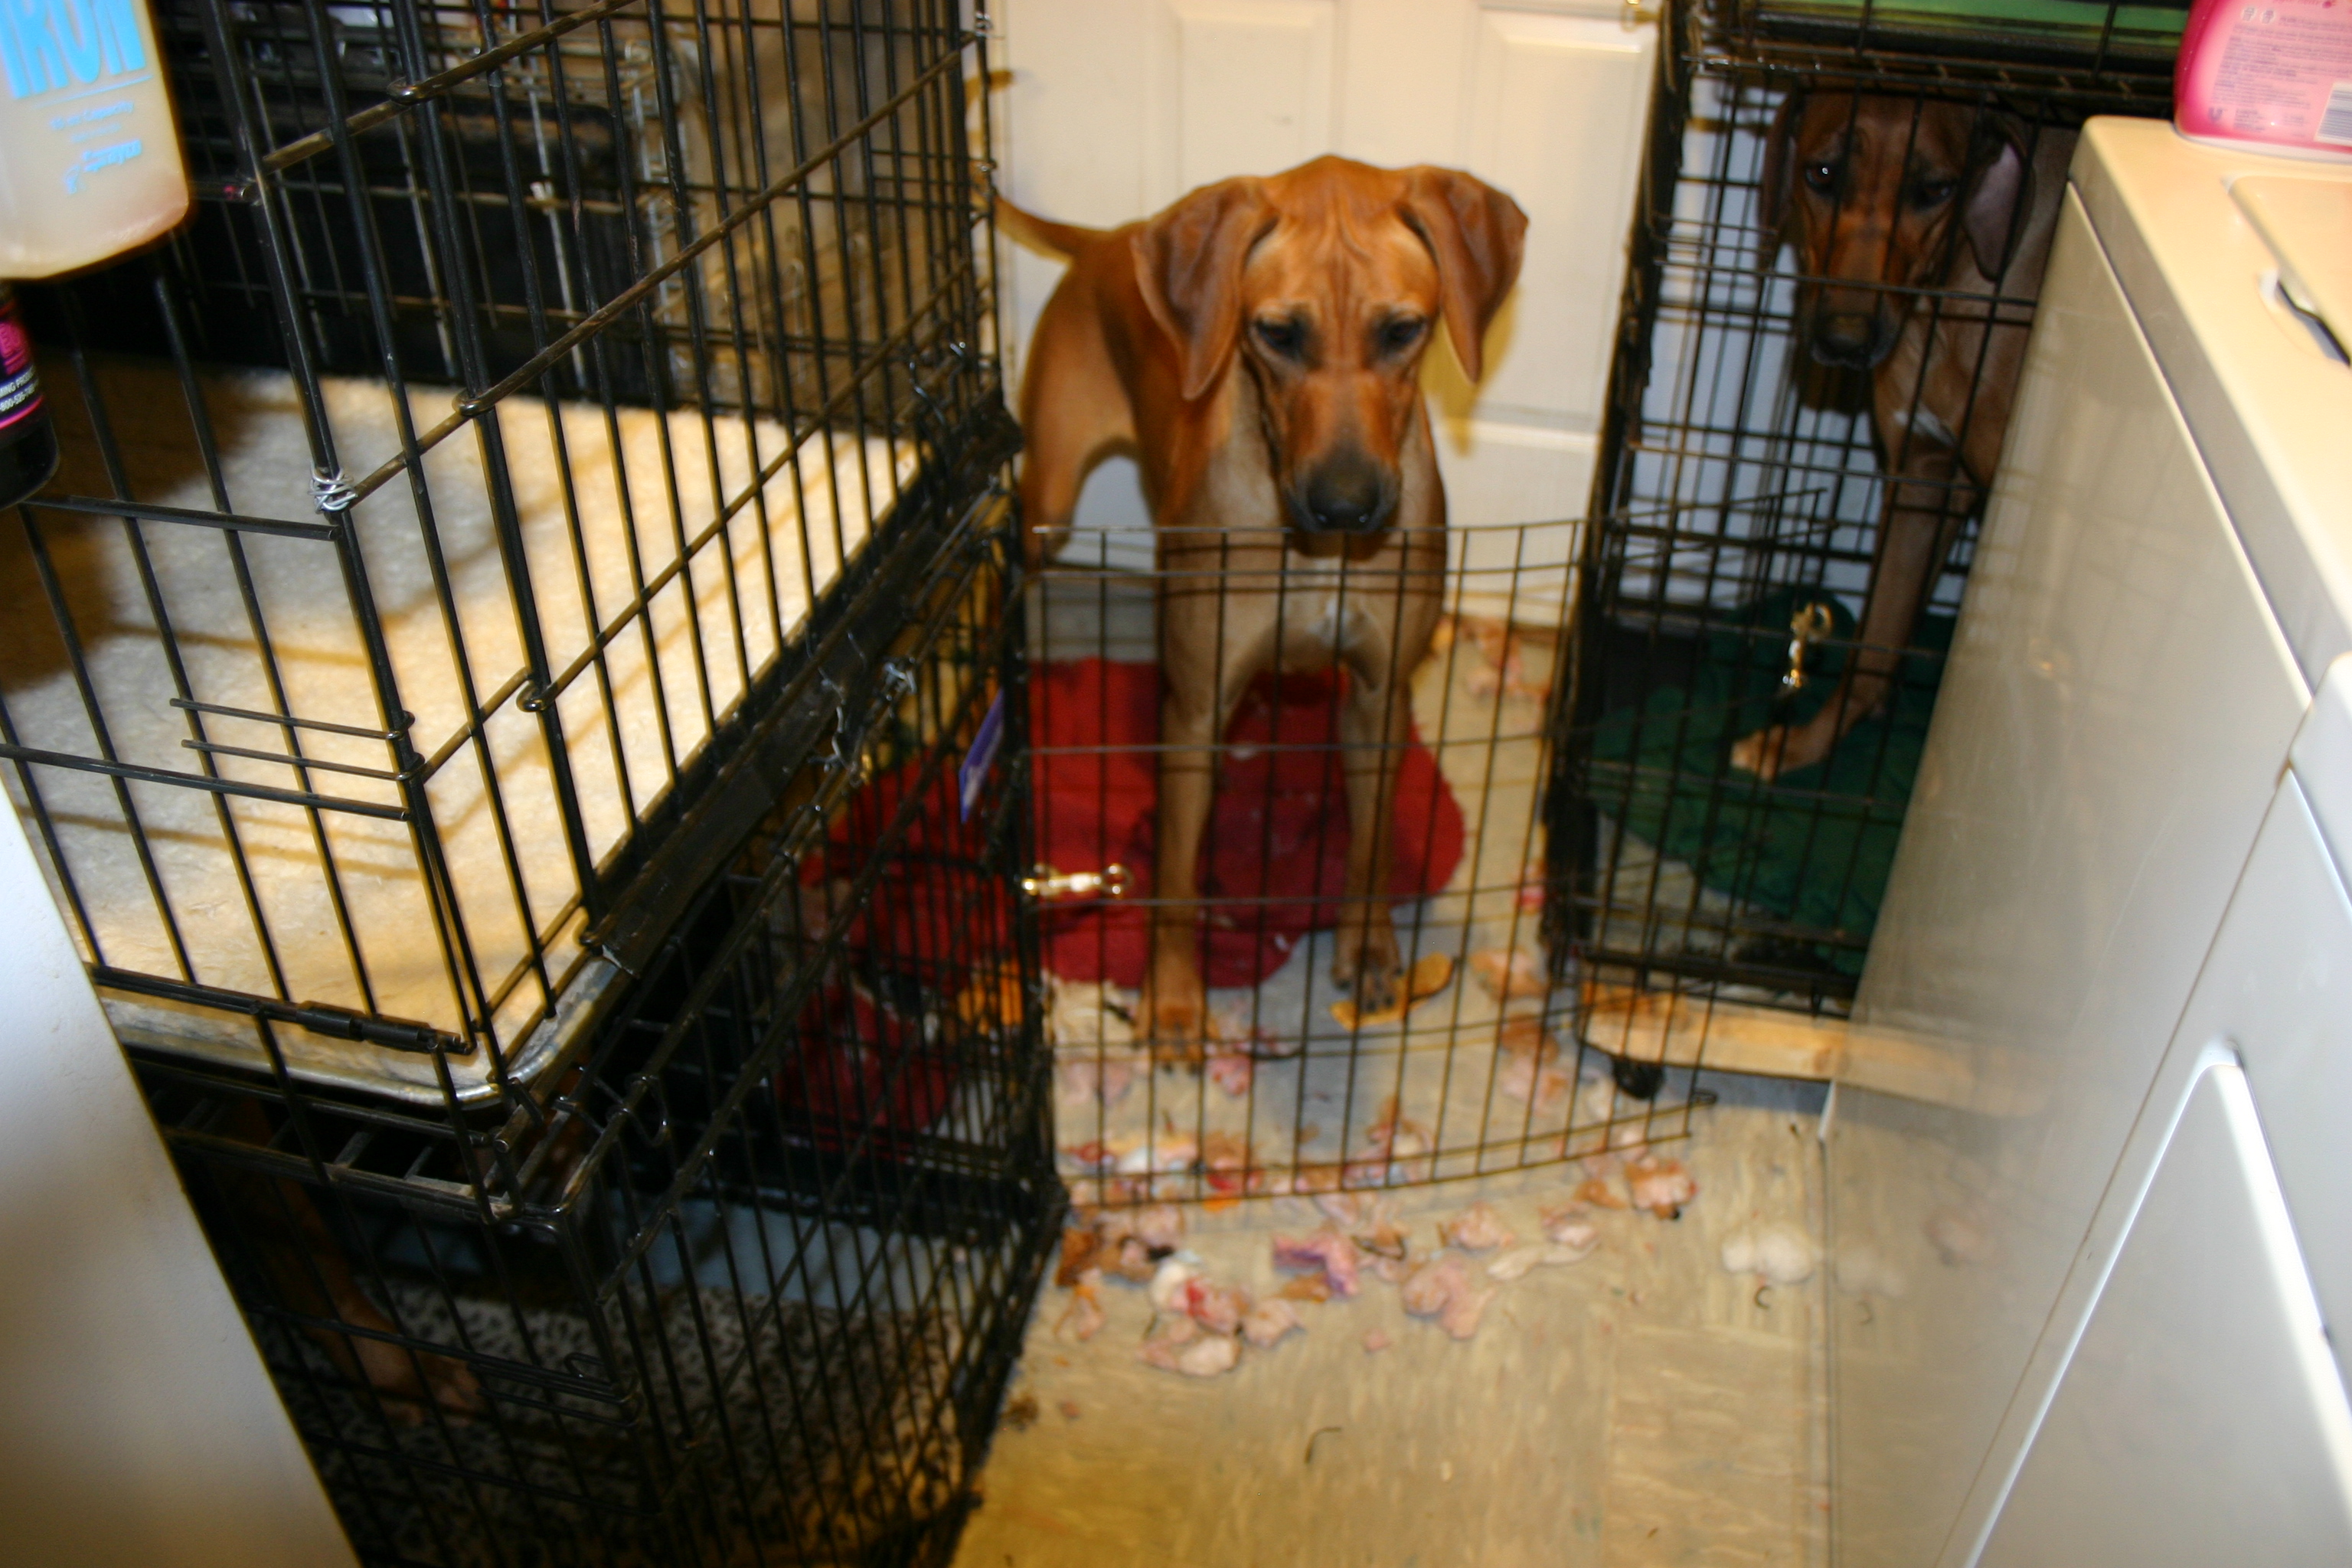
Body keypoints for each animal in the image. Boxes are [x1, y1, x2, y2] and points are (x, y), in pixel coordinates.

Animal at [1001, 157, 1526, 1055]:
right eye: (1277, 334)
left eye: (1404, 330)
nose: (1347, 507)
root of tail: (1106, 239)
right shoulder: (1195, 710)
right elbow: (1177, 881)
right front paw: (1177, 1000)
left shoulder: (1380, 696)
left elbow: (1371, 845)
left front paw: (1369, 943)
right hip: (1054, 495)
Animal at [1729, 95, 2075, 781]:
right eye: (1823, 173)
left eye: (1935, 189)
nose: (1845, 338)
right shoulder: (1924, 478)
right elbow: (1877, 641)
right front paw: (1803, 745)